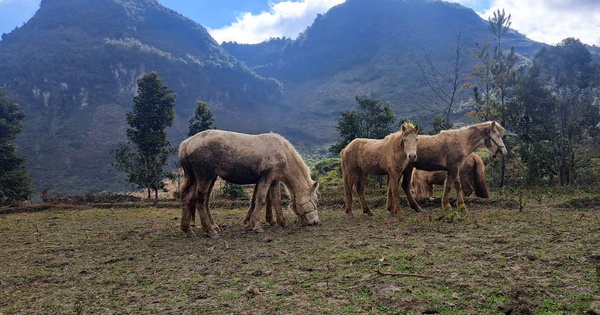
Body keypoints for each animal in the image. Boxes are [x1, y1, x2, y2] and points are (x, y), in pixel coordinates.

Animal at [178, 130, 318, 238]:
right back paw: (210, 230)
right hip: (205, 176)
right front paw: (256, 225)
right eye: (315, 201)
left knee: (188, 198)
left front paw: (281, 222)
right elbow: (261, 200)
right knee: (200, 200)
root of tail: (187, 143)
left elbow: (274, 200)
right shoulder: (267, 176)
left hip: (196, 178)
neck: (282, 151)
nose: (316, 222)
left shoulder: (273, 180)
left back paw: (188, 230)